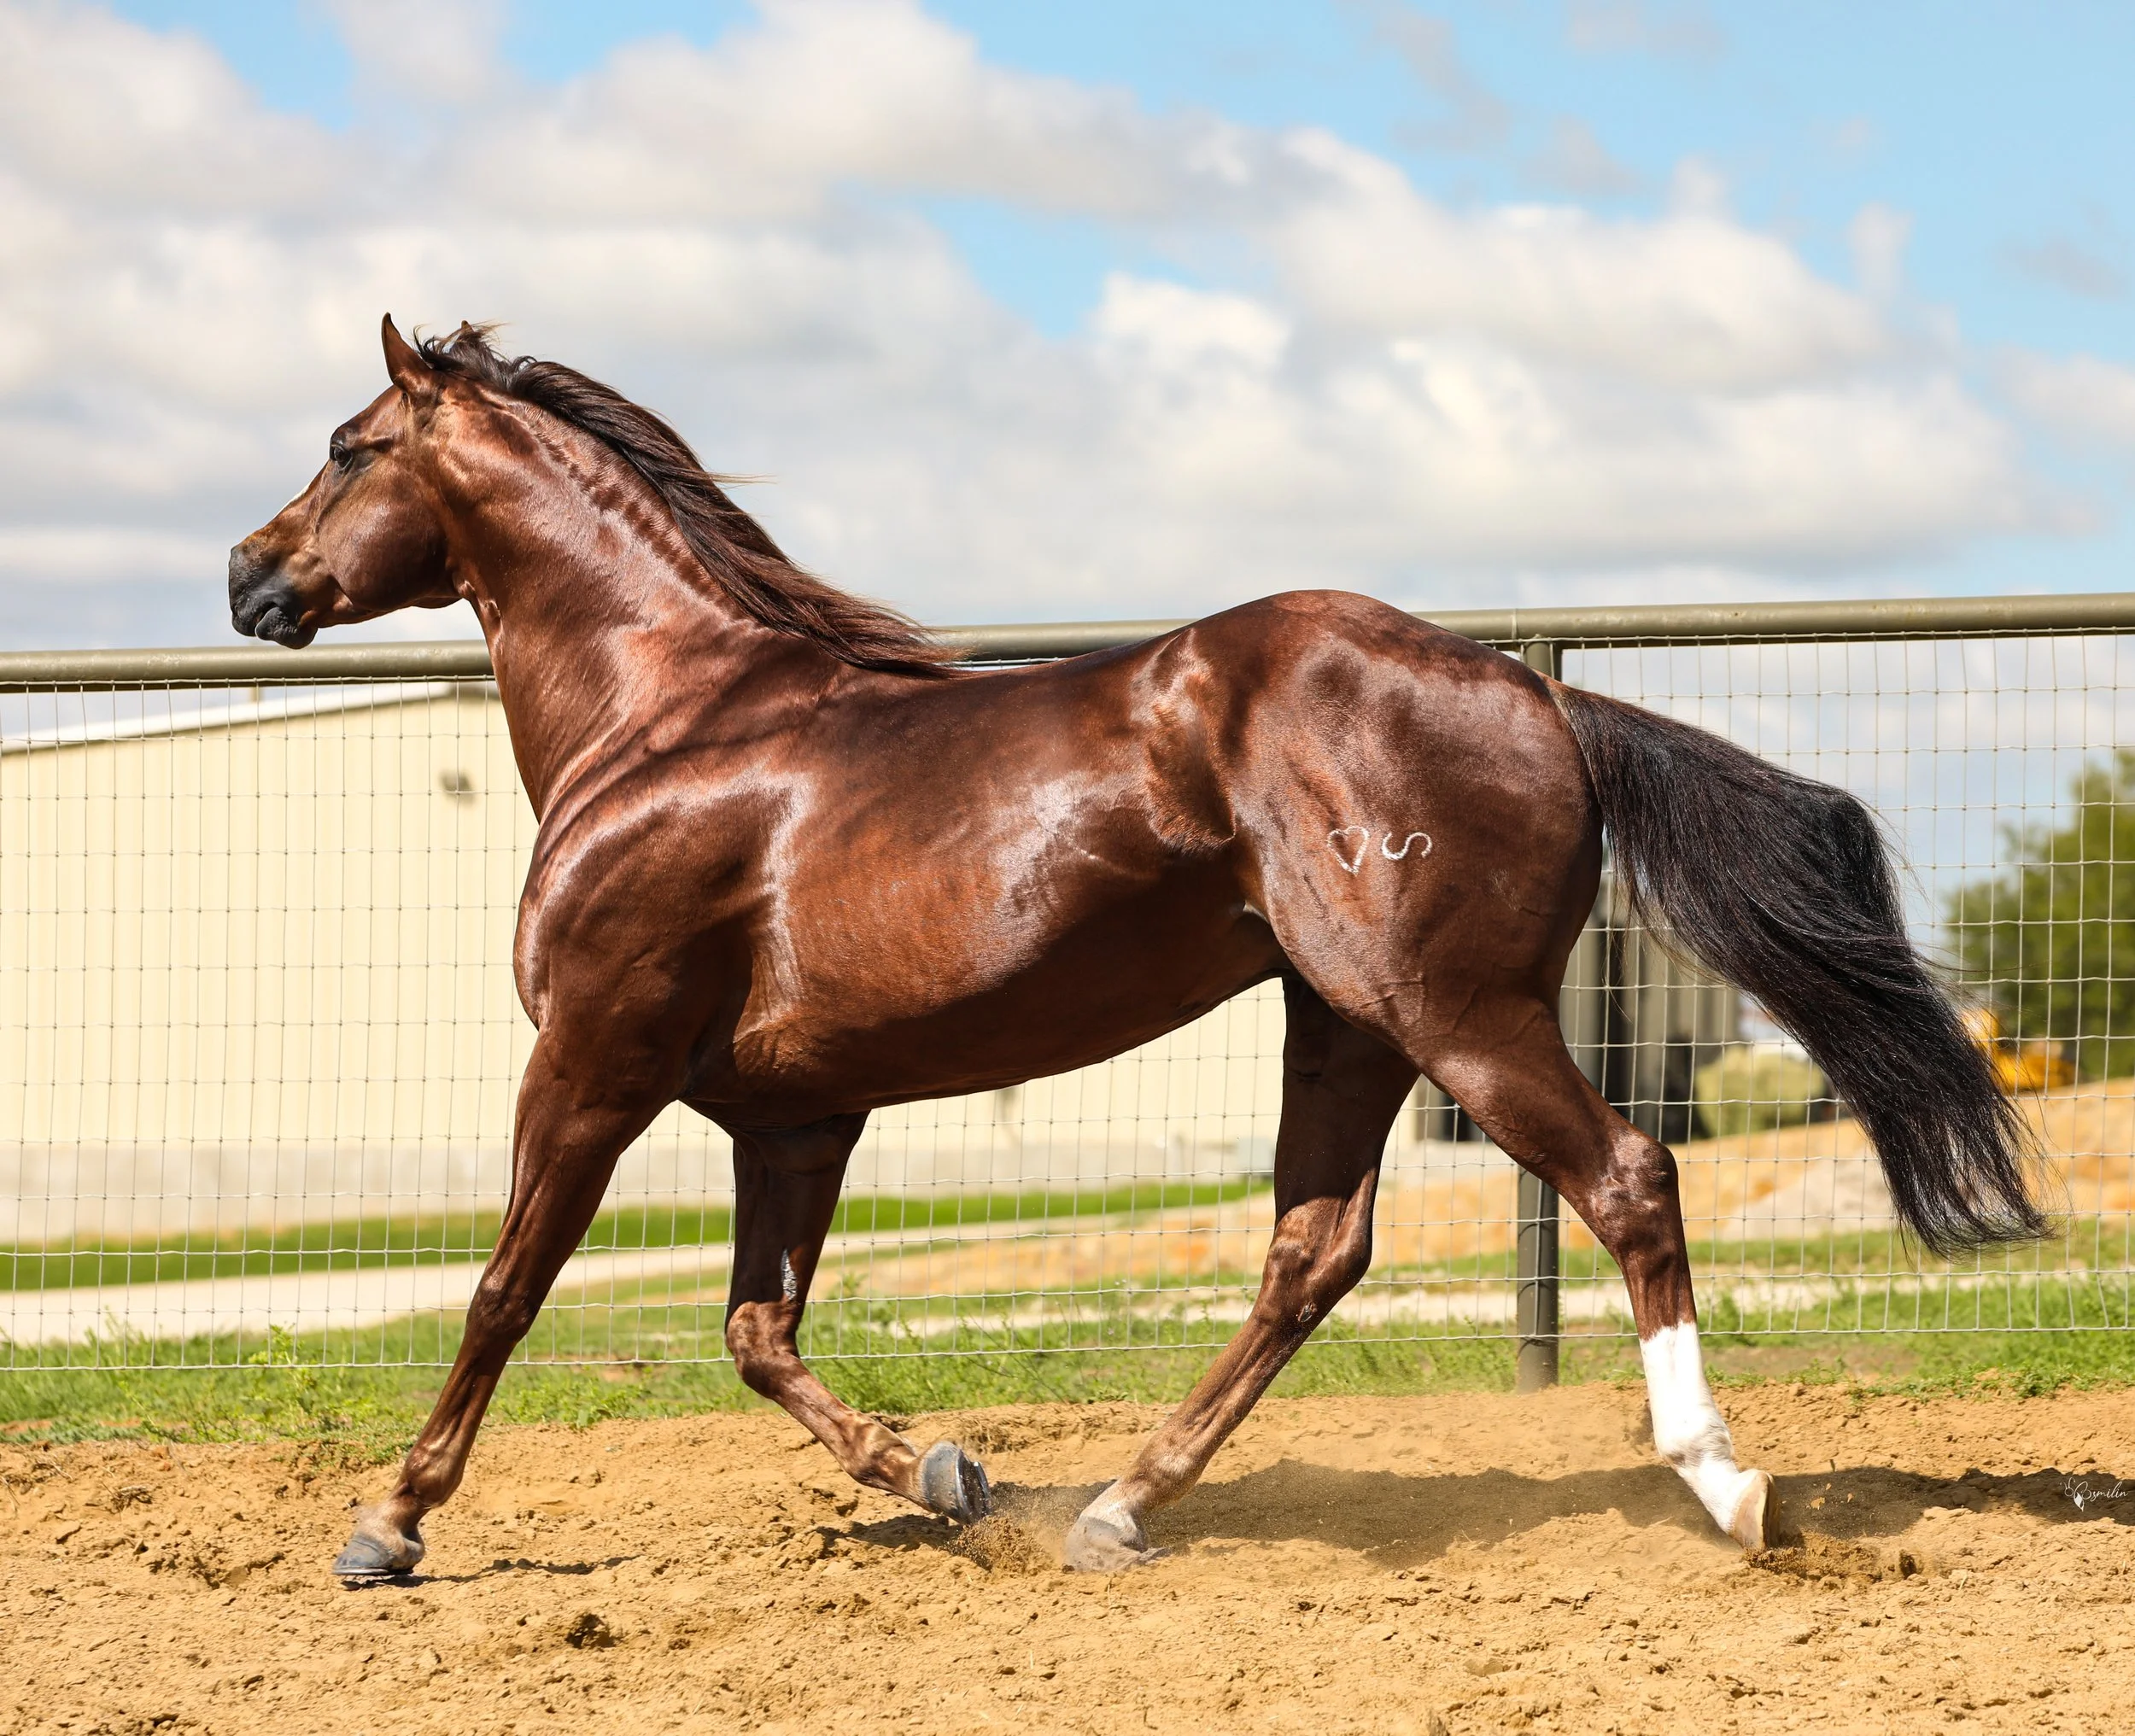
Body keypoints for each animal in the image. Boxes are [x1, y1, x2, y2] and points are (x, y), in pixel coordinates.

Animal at [229, 316, 2042, 1579]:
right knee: (1315, 1248)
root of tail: (1539, 699)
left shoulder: (594, 1058)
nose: (250, 573)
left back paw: (1731, 1485)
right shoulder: (795, 1114)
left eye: (345, 442)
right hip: (1346, 1024)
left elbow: (505, 1286)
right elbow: (758, 1334)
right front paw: (948, 1474)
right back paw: (1114, 1503)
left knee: (1627, 1179)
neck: (671, 723)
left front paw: (388, 1521)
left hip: (1450, 1011)